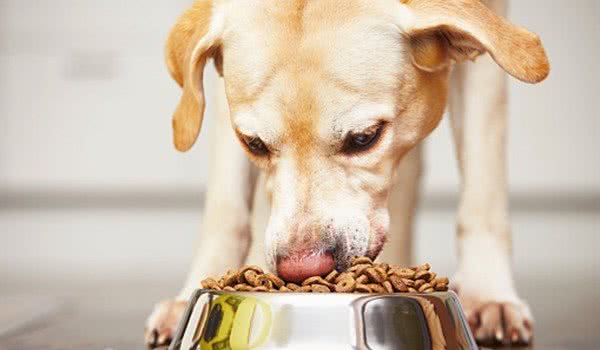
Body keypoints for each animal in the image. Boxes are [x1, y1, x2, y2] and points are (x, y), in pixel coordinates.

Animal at [145, 0, 548, 346]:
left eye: (365, 137)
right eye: (254, 143)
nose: (301, 268)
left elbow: (483, 189)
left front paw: (487, 293)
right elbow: (225, 209)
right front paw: (193, 294)